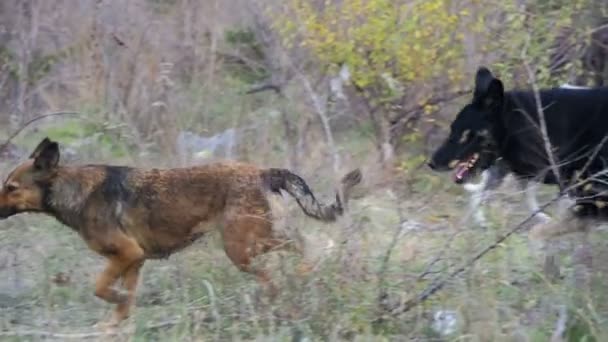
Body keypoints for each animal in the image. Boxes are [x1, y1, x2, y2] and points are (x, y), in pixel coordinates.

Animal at [0, 137, 360, 326]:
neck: (73, 190)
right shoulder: (134, 262)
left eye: (11, 188)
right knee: (299, 249)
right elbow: (122, 306)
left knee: (305, 249)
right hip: (255, 241)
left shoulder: (127, 254)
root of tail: (262, 171)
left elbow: (101, 288)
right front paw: (116, 327)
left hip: (243, 247)